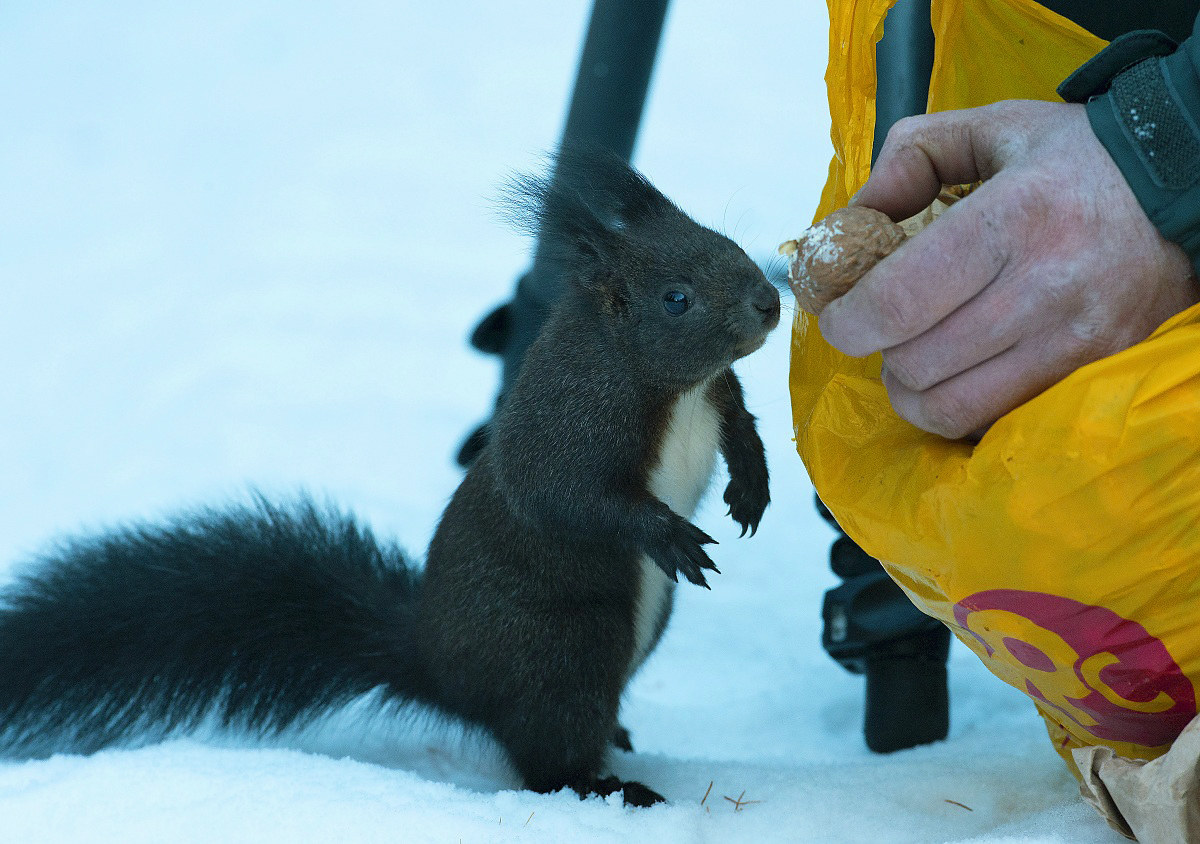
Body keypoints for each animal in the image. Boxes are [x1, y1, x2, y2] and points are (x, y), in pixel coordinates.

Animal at [0, 152, 780, 807]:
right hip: (566, 650)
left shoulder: (716, 396)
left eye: (725, 240)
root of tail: (442, 675)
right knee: (547, 761)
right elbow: (569, 497)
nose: (770, 304)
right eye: (675, 298)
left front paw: (752, 486)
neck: (673, 388)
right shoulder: (569, 425)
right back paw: (609, 787)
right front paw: (670, 535)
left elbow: (741, 425)